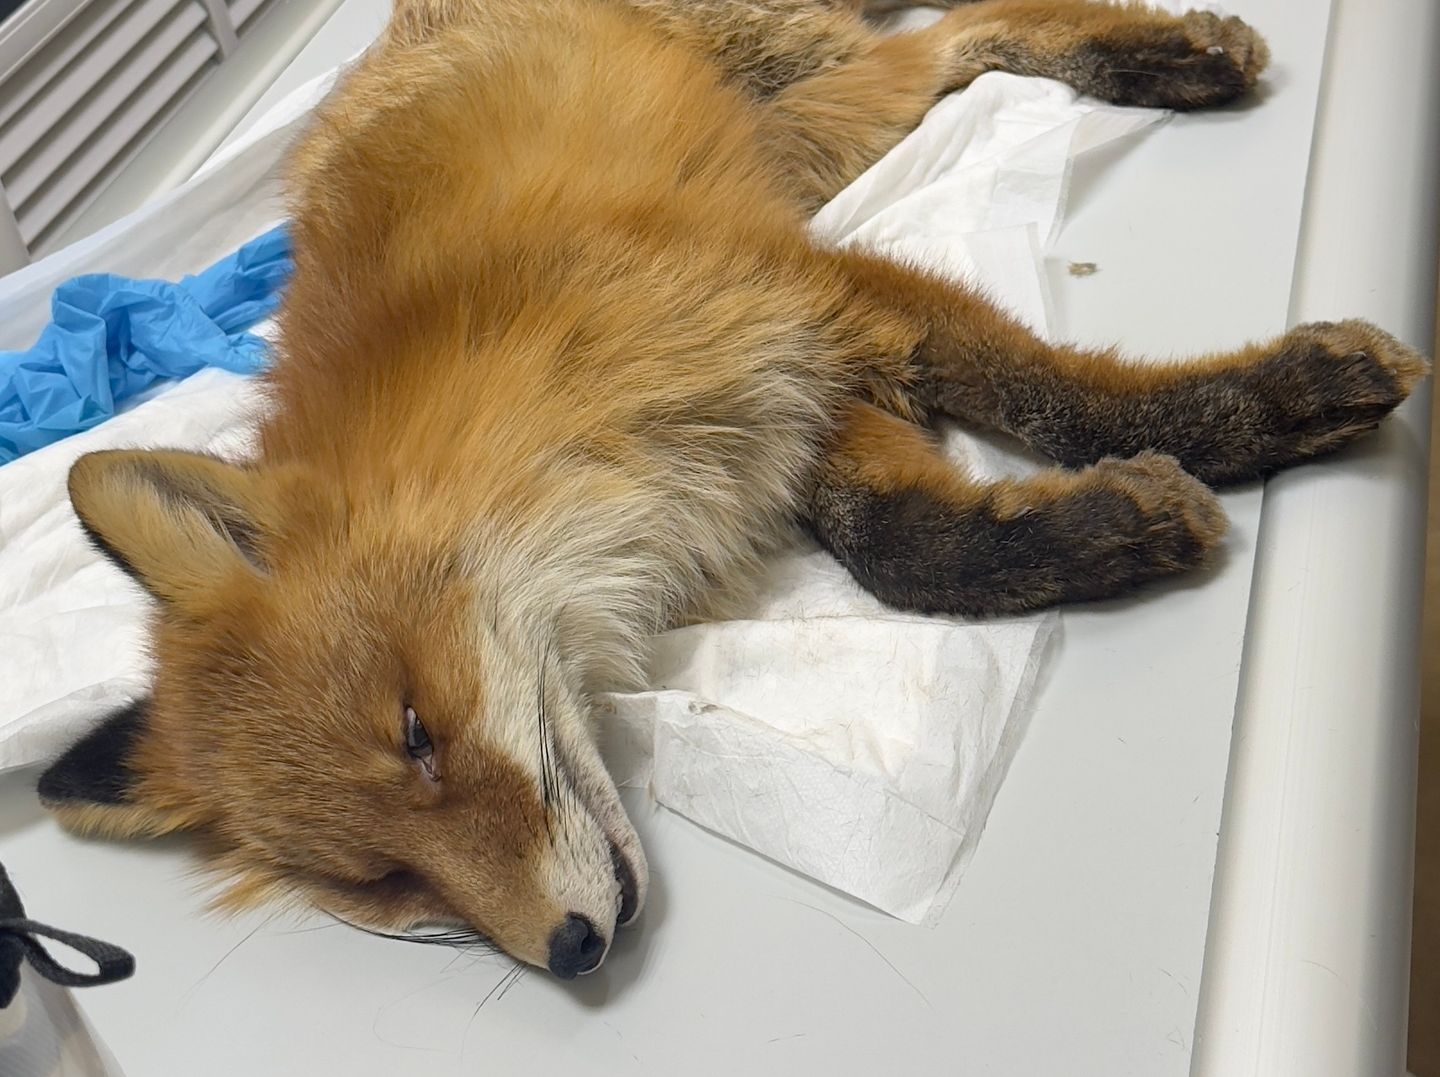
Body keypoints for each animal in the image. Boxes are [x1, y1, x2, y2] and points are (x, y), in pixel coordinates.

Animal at [36, 0, 1427, 980]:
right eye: (383, 882)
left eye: (420, 732)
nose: (569, 954)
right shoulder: (748, 406)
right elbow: (899, 536)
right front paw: (1092, 527)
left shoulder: (790, 300)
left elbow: (1051, 398)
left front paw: (1265, 405)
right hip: (804, 128)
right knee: (956, 46)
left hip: (800, 96)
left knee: (965, 24)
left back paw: (1171, 53)